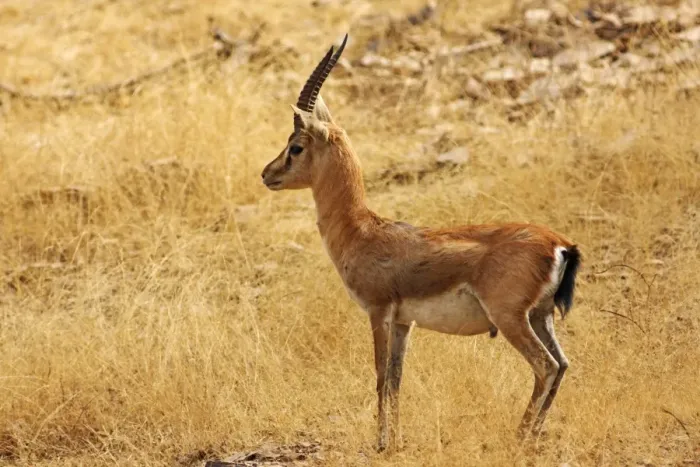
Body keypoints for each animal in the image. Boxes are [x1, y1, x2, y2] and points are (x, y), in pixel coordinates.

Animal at [261, 34, 581, 452]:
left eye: (296, 146)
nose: (267, 173)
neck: (363, 232)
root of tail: (560, 244)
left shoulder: (378, 312)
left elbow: (380, 378)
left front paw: (381, 444)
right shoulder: (404, 322)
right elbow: (397, 380)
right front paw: (395, 442)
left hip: (511, 318)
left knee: (545, 366)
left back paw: (517, 439)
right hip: (541, 316)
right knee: (562, 365)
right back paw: (530, 439)